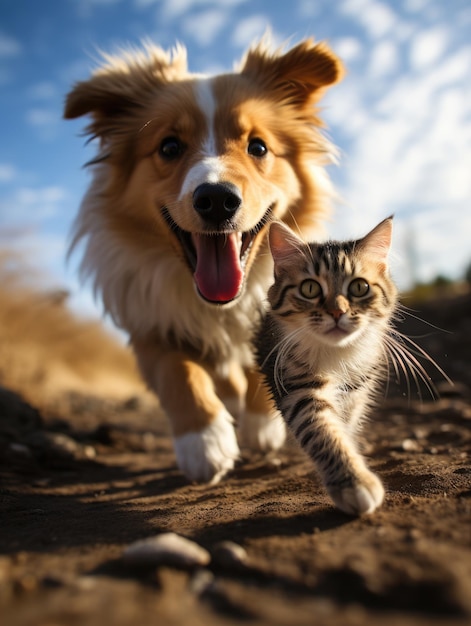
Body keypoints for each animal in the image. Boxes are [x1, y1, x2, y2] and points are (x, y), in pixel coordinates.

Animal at [64, 35, 344, 482]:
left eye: (258, 146)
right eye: (169, 146)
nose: (216, 199)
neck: (220, 305)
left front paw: (262, 424)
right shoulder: (149, 322)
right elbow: (178, 372)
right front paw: (205, 442)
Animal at [256, 217, 396, 516]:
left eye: (359, 287)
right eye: (309, 289)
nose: (337, 312)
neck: (336, 356)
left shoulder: (356, 391)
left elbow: (344, 426)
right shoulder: (299, 387)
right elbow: (324, 432)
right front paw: (355, 482)